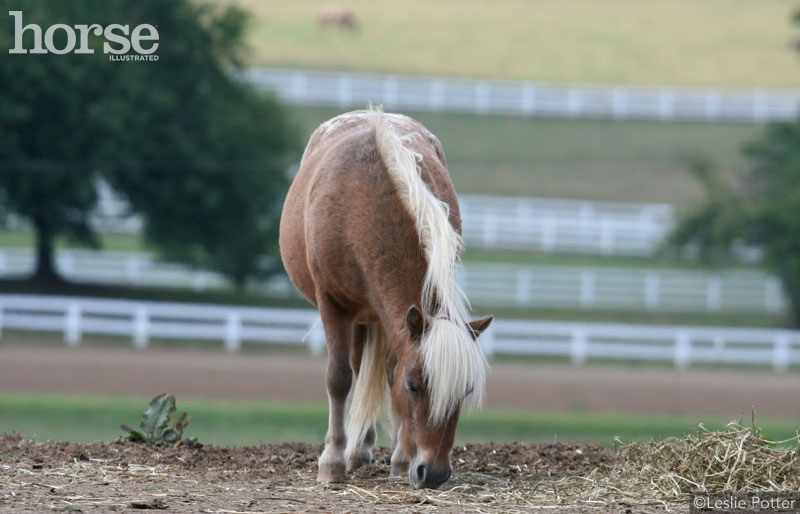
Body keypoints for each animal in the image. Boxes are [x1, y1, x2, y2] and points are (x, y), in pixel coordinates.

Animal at [282, 108, 494, 488]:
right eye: (413, 386)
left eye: (465, 391)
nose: (433, 472)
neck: (361, 202)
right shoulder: (333, 304)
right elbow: (339, 378)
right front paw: (332, 461)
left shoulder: (396, 322)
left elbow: (388, 371)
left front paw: (399, 458)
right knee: (354, 369)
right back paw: (355, 450)